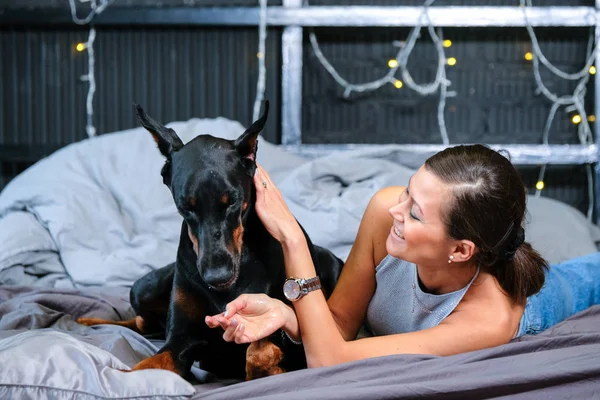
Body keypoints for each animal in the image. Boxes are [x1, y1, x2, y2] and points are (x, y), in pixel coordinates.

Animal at [77, 101, 344, 382]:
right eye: (185, 207)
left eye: (233, 201)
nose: (217, 277)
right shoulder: (180, 340)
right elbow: (143, 368)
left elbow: (258, 350)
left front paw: (269, 366)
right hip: (143, 287)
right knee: (140, 322)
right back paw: (86, 321)